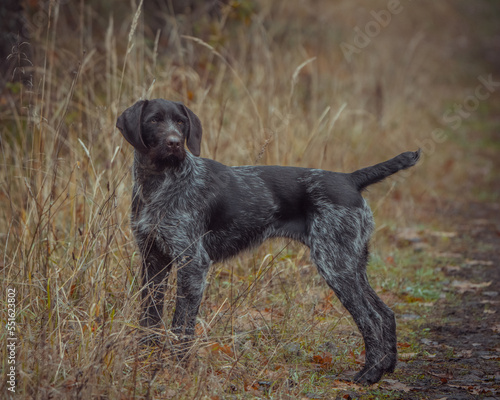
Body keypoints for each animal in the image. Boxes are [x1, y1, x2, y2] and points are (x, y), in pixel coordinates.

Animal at [115, 98, 420, 382]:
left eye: (180, 122)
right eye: (154, 120)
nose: (175, 143)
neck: (158, 184)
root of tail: (349, 179)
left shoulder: (193, 263)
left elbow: (181, 324)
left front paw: (177, 368)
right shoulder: (153, 260)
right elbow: (149, 316)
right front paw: (146, 358)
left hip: (335, 265)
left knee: (371, 317)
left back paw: (370, 374)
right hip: (352, 263)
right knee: (386, 313)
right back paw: (387, 367)